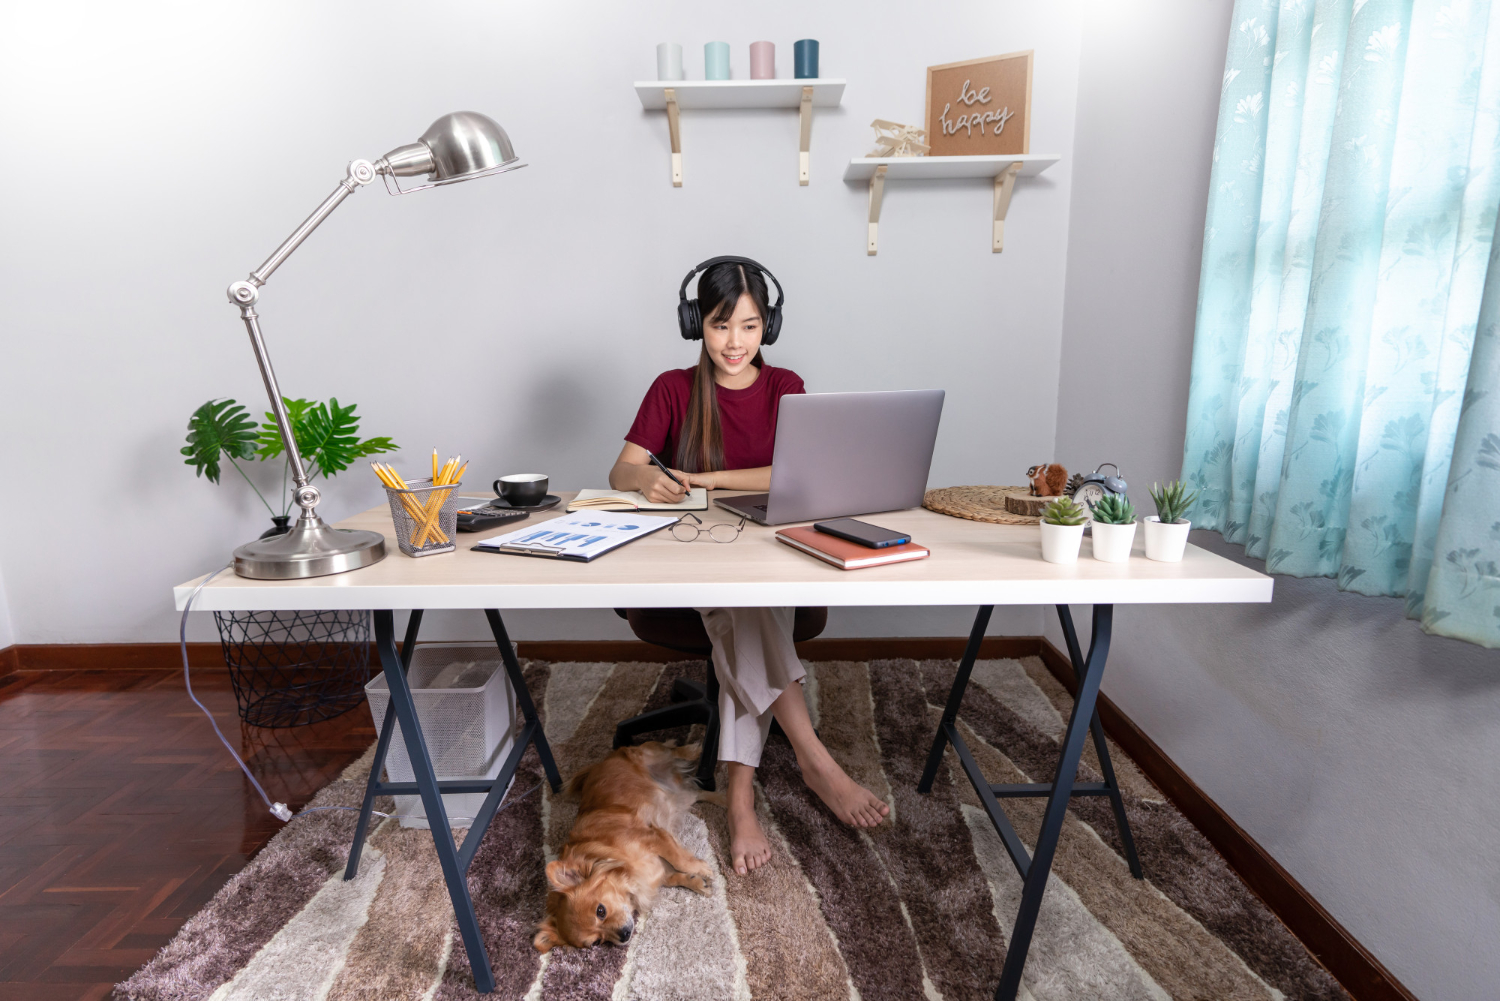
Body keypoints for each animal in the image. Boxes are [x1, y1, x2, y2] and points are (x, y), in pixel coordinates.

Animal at [534, 741, 726, 954]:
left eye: (601, 911)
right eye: (596, 942)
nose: (624, 935)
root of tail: (598, 765)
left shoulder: (653, 836)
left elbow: (680, 859)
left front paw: (701, 868)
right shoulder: (658, 870)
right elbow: (675, 877)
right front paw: (697, 882)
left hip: (648, 755)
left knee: (668, 750)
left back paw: (693, 750)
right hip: (679, 796)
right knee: (697, 793)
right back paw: (724, 799)